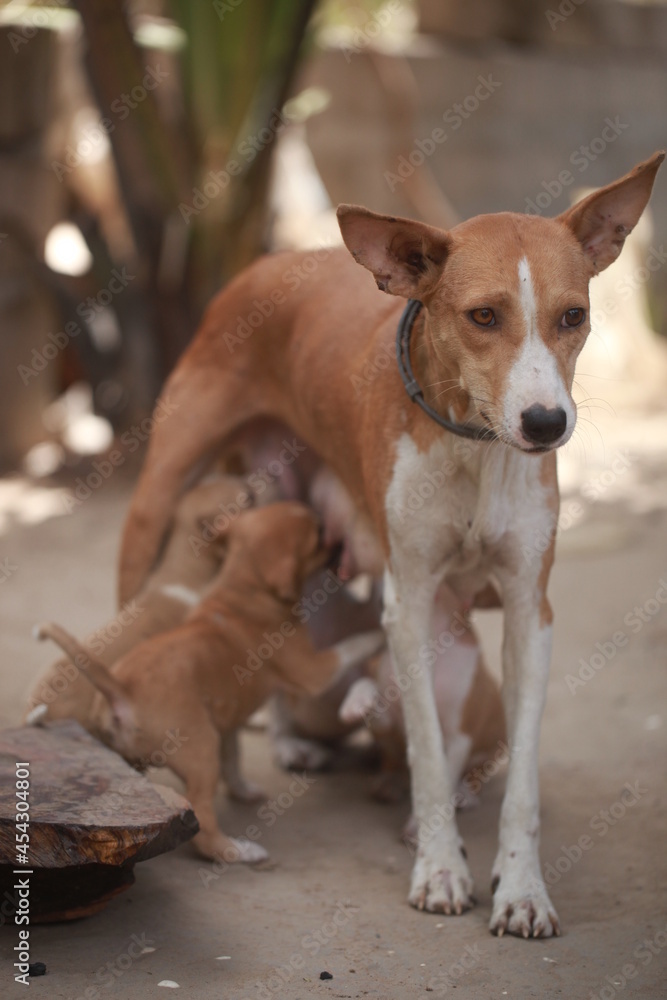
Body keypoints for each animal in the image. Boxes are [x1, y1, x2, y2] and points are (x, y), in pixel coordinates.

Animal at [37, 504, 386, 864]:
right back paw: (238, 850)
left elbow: (233, 758)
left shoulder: (227, 720)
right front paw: (381, 632)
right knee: (203, 822)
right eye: (317, 536)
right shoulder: (314, 670)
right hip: (202, 751)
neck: (243, 584)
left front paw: (243, 790)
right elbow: (355, 643)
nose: (334, 532)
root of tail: (121, 687)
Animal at [115, 152, 664, 932]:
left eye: (573, 317)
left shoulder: (529, 611)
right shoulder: (409, 602)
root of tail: (272, 259)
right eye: (482, 316)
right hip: (157, 503)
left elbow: (523, 779)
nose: (545, 424)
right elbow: (427, 752)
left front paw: (523, 888)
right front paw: (438, 869)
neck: (474, 446)